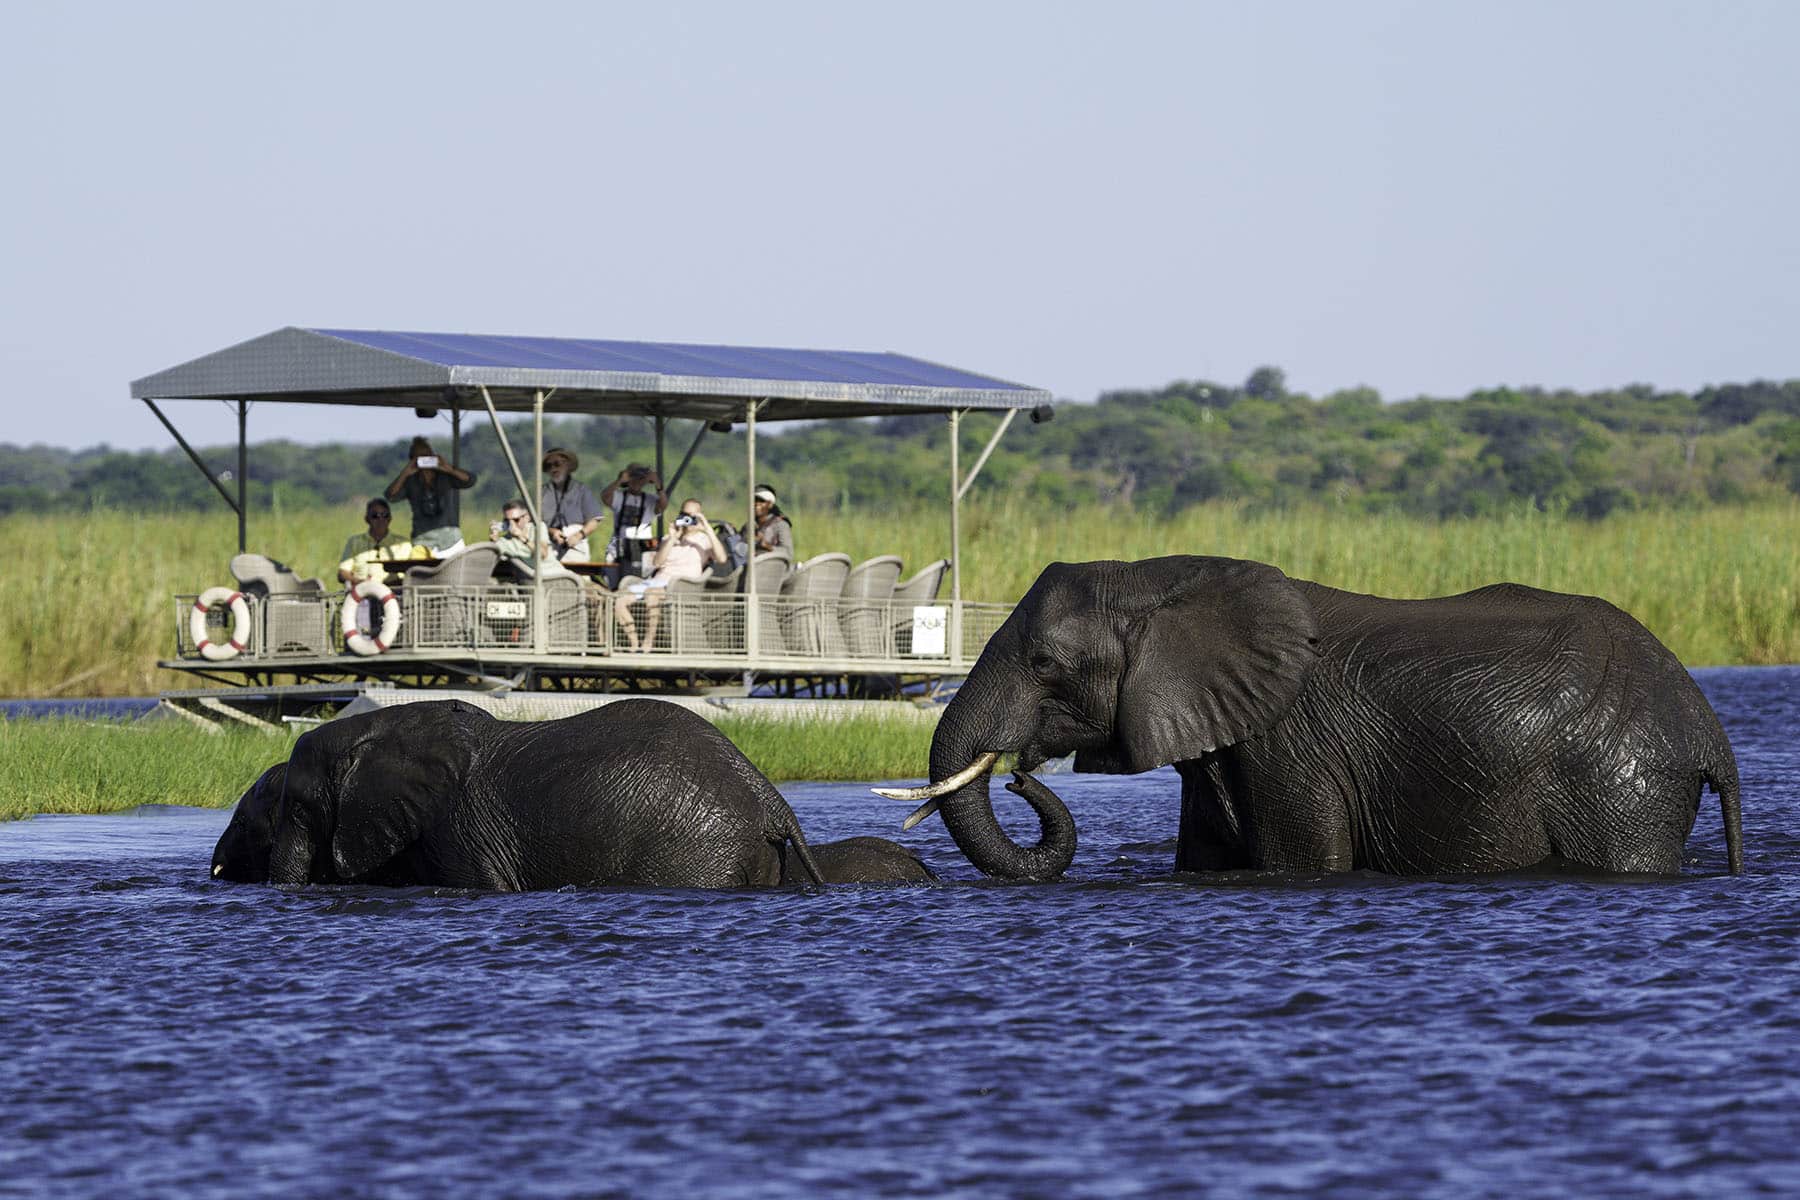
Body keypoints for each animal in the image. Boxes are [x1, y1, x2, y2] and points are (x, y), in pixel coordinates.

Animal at [880, 556, 1743, 880]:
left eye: (1044, 665)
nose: (1022, 776)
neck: (1163, 578)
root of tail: (1710, 733)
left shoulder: (1291, 742)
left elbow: (1305, 863)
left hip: (1620, 780)